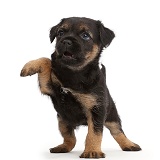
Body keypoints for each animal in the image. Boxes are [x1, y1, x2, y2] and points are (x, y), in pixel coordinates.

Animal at [20, 16, 141, 158]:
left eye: (85, 36)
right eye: (60, 33)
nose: (66, 41)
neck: (74, 73)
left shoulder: (96, 110)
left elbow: (94, 133)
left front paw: (92, 151)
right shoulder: (49, 87)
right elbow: (46, 60)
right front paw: (30, 66)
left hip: (112, 116)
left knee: (117, 131)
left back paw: (129, 144)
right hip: (63, 121)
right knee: (70, 139)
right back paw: (62, 147)